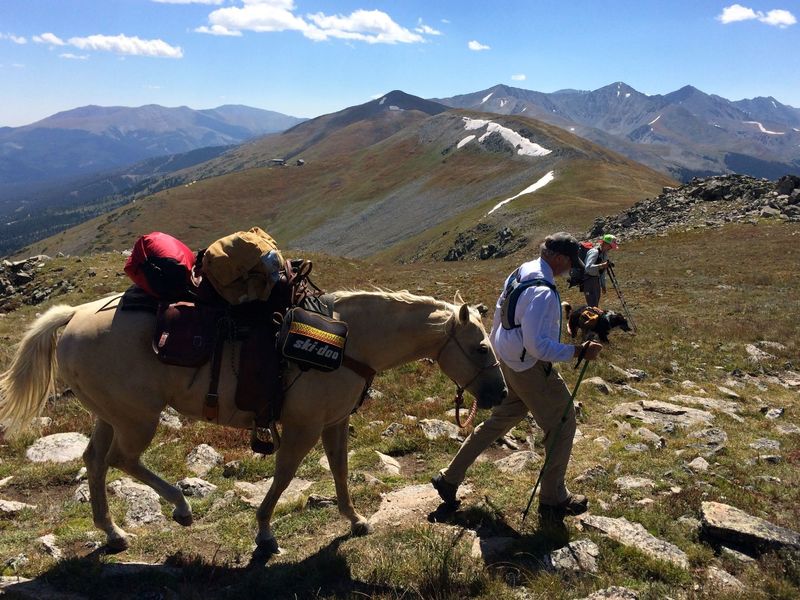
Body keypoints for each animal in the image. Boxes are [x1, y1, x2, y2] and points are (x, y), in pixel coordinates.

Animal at [1, 290, 506, 552]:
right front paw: (264, 530)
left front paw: (356, 520)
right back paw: (180, 507)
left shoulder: (333, 424)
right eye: (481, 347)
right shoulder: (303, 427)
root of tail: (72, 316)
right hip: (137, 418)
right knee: (122, 460)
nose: (500, 395)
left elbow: (341, 473)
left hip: (110, 415)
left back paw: (113, 531)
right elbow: (284, 476)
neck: (349, 343)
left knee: (95, 460)